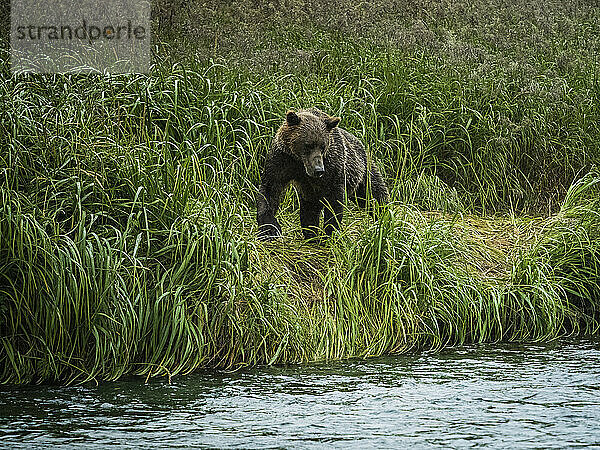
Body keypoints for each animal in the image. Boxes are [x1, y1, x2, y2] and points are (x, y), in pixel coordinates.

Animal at [256, 107, 390, 241]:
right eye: (308, 145)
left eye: (322, 146)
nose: (318, 169)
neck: (300, 162)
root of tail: (360, 142)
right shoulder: (282, 160)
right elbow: (270, 189)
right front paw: (270, 229)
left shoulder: (333, 167)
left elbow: (334, 201)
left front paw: (330, 231)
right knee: (309, 210)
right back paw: (311, 233)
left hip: (363, 171)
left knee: (374, 194)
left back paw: (385, 216)